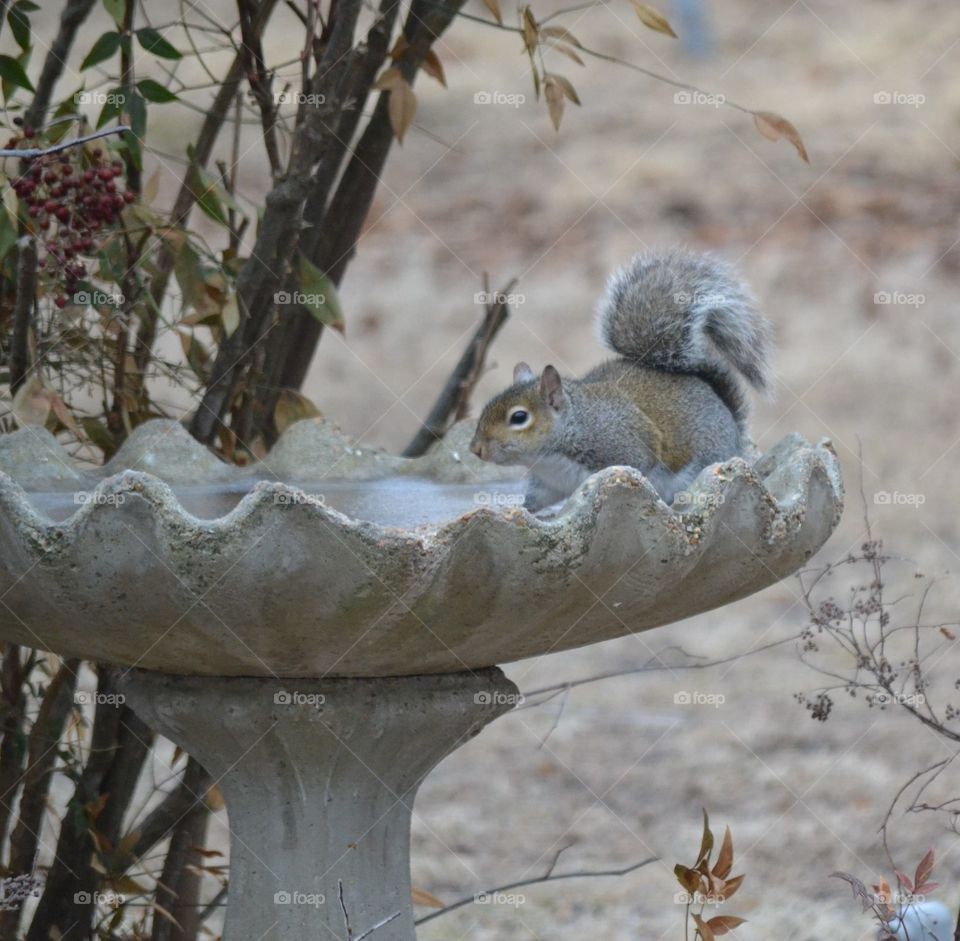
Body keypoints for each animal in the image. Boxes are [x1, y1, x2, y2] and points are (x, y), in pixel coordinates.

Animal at [469, 248, 774, 512]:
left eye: (519, 417)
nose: (476, 449)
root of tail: (730, 422)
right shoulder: (549, 484)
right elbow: (536, 501)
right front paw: (519, 511)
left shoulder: (623, 448)